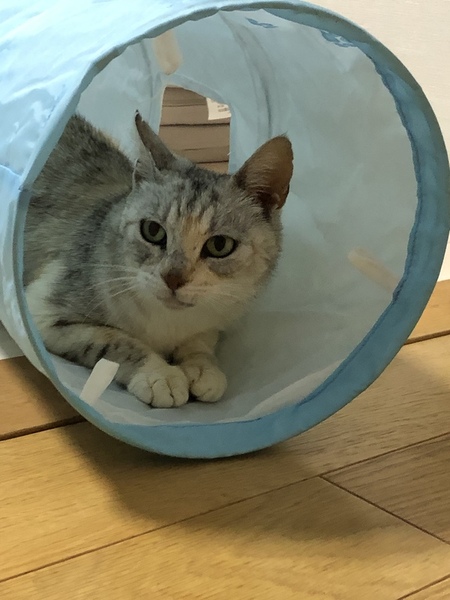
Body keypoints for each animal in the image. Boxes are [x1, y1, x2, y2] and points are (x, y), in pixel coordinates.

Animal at [24, 111, 293, 408]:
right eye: (152, 230)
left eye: (220, 245)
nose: (173, 278)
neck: (170, 322)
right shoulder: (44, 311)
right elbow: (115, 341)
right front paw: (160, 374)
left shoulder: (213, 318)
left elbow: (201, 341)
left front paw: (203, 368)